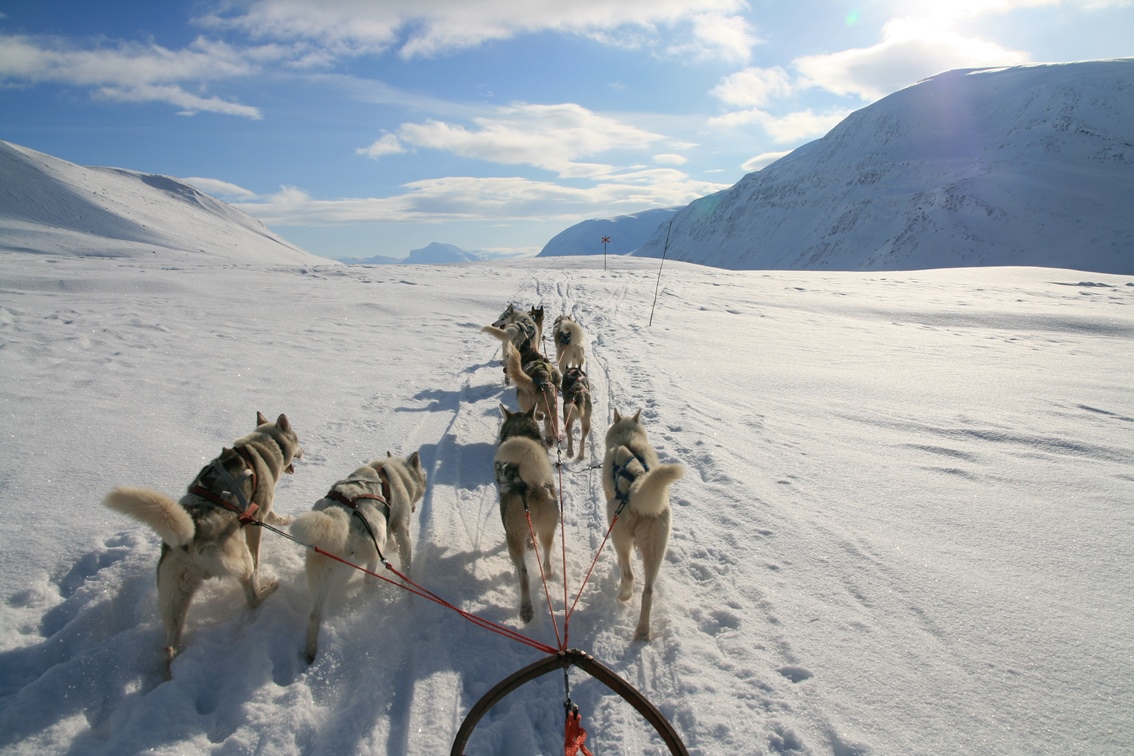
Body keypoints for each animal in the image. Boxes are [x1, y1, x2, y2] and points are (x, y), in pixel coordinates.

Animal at [102, 414, 303, 680]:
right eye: (298, 439)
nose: (303, 452)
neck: (262, 446)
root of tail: (190, 540)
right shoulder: (257, 516)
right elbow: (263, 533)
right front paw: (285, 520)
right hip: (240, 562)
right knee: (252, 595)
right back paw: (268, 588)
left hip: (174, 600)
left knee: (168, 646)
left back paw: (169, 676)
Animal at [290, 453, 426, 657]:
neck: (395, 473)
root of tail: (340, 513)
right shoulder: (401, 528)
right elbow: (405, 563)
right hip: (374, 546)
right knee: (368, 579)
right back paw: (374, 588)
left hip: (321, 572)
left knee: (315, 614)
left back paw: (311, 651)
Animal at [494, 405, 560, 625]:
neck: (522, 432)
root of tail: (531, 486)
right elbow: (533, 537)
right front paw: (532, 543)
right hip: (548, 530)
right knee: (547, 560)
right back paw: (548, 574)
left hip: (513, 542)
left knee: (523, 574)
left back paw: (526, 608)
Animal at [603, 410, 680, 643]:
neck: (627, 439)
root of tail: (636, 488)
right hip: (656, 552)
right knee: (648, 592)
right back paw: (643, 631)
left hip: (617, 530)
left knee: (629, 574)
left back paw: (624, 594)